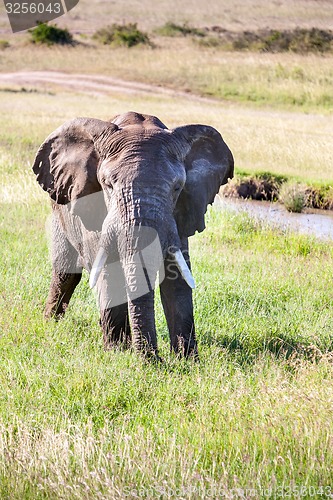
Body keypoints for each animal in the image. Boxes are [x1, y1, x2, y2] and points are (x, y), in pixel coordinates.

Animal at [32, 110, 232, 360]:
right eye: (108, 185)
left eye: (177, 187)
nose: (155, 360)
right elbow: (108, 271)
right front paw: (117, 354)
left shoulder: (178, 214)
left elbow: (177, 278)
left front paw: (187, 360)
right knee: (66, 272)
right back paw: (51, 323)